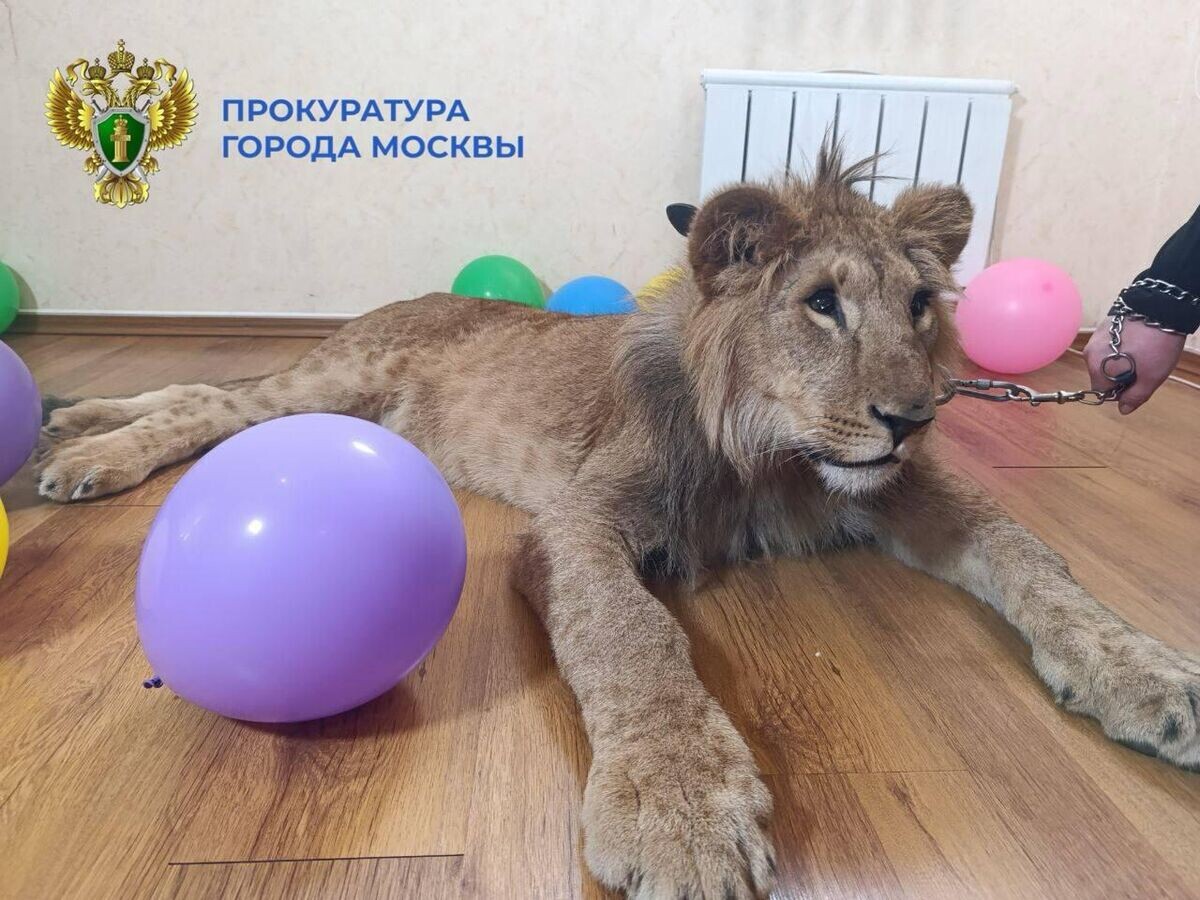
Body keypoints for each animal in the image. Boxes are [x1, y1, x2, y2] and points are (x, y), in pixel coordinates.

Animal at [36, 147, 1200, 899]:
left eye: (920, 306)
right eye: (821, 303)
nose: (914, 418)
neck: (768, 455)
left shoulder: (895, 491)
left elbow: (1028, 551)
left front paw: (1147, 674)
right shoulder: (574, 518)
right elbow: (628, 633)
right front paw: (680, 811)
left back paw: (72, 419)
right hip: (333, 384)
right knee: (205, 400)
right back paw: (84, 453)